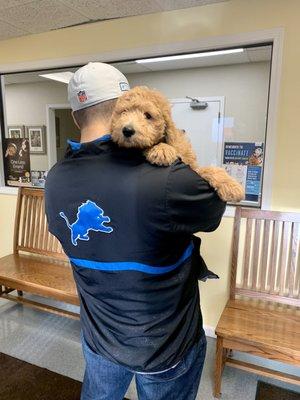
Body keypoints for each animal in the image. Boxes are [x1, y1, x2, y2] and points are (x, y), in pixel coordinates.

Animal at [111, 85, 245, 203]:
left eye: (148, 115)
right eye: (123, 112)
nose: (127, 130)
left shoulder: (192, 166)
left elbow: (209, 169)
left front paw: (232, 187)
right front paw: (162, 150)